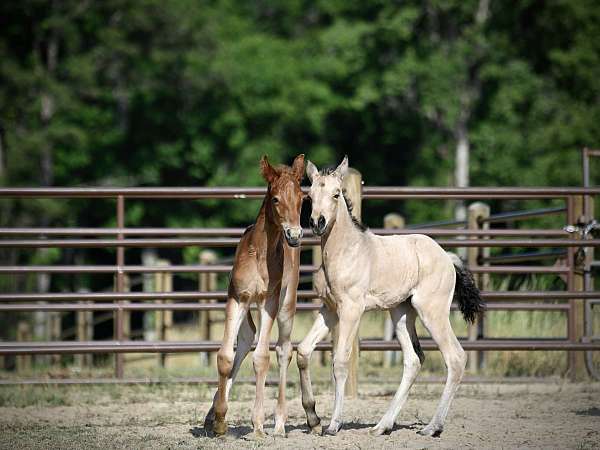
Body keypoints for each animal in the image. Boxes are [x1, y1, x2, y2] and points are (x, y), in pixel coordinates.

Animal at [206, 153, 308, 438]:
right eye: (275, 199)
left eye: (302, 198)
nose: (295, 235)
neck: (260, 254)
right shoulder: (237, 298)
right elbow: (225, 356)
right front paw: (219, 420)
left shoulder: (267, 302)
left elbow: (262, 358)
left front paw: (259, 424)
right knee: (246, 338)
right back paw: (212, 413)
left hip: (285, 306)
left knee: (283, 350)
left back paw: (280, 424)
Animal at [298, 156, 486, 438]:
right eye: (309, 195)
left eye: (336, 193)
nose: (317, 223)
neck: (347, 251)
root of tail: (447, 257)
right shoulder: (329, 309)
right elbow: (302, 350)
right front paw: (313, 419)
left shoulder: (351, 310)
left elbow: (340, 360)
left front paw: (332, 425)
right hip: (401, 314)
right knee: (413, 360)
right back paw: (382, 426)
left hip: (432, 311)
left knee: (455, 357)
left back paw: (432, 427)